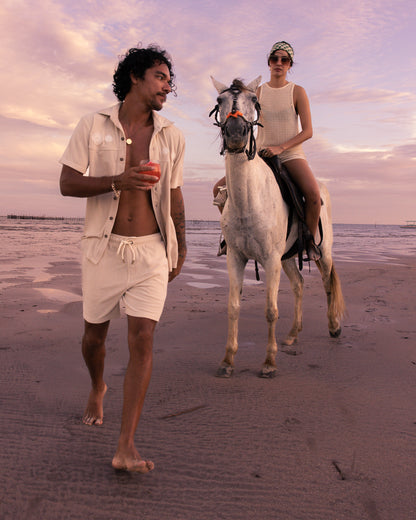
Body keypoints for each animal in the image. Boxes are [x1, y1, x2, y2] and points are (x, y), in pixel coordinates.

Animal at [211, 76, 344, 378]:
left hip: (322, 253)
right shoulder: (236, 257)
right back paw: (293, 335)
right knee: (299, 285)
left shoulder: (270, 259)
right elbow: (233, 307)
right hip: (287, 258)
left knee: (327, 283)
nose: (235, 135)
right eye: (219, 101)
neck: (249, 199)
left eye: (254, 101)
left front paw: (269, 363)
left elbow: (271, 310)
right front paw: (227, 360)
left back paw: (334, 327)